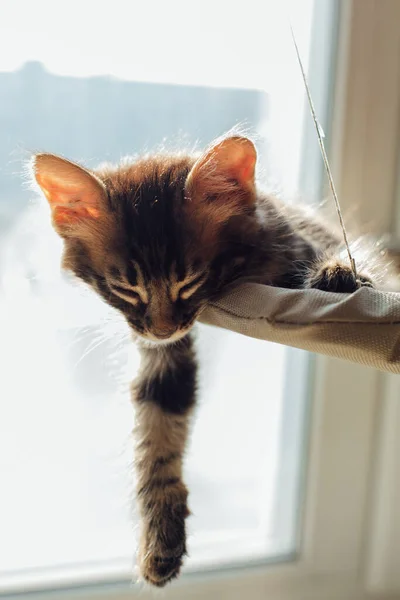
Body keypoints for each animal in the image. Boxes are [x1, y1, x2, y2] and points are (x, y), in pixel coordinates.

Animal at [32, 135, 380, 584]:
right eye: (125, 289)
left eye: (189, 282)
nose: (163, 330)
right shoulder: (160, 355)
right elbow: (157, 433)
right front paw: (161, 538)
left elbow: (352, 264)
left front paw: (339, 273)